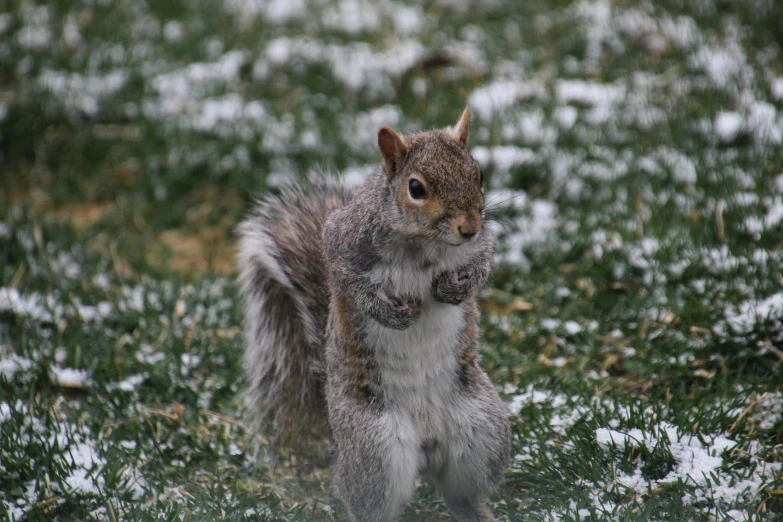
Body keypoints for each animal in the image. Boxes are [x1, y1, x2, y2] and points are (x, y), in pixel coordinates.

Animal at [236, 106, 512, 520]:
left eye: (478, 173)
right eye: (416, 188)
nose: (469, 227)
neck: (425, 245)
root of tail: (428, 446)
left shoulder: (480, 246)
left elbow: (482, 263)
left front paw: (457, 288)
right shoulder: (342, 244)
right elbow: (352, 286)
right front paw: (390, 313)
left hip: (483, 427)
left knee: (463, 494)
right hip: (376, 448)